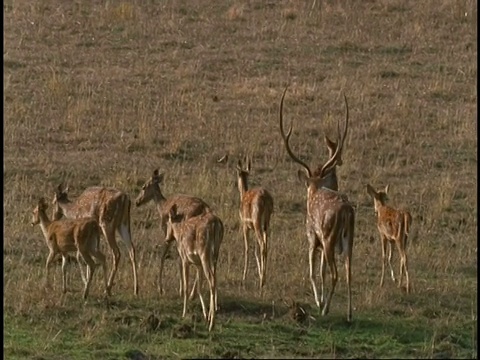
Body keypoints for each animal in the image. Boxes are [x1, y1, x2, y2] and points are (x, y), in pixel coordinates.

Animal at [166, 202, 224, 332]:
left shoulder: (185, 259)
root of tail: (216, 223)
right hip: (215, 254)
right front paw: (205, 314)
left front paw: (184, 313)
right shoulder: (198, 264)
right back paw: (212, 314)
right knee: (215, 277)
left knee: (211, 279)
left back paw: (212, 324)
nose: (167, 238)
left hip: (204, 251)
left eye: (168, 221)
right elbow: (199, 287)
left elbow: (186, 287)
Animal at [235, 156, 274, 288]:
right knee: (266, 245)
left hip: (257, 222)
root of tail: (266, 199)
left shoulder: (244, 225)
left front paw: (243, 277)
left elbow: (247, 248)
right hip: (266, 223)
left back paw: (262, 281)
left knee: (262, 244)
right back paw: (263, 278)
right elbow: (255, 249)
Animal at [278, 86, 356, 322]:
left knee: (336, 274)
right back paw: (349, 314)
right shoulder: (321, 243)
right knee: (349, 272)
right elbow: (320, 272)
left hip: (330, 238)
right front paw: (320, 299)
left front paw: (319, 302)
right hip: (349, 240)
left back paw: (326, 309)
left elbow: (313, 272)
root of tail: (347, 211)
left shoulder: (313, 237)